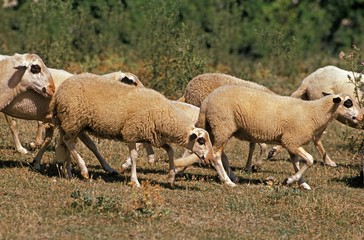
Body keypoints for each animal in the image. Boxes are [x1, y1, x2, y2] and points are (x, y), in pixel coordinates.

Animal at [51, 73, 213, 188]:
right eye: (201, 140)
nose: (209, 158)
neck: (163, 114)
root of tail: (63, 87)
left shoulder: (154, 136)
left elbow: (170, 150)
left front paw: (171, 177)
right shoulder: (131, 133)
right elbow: (134, 156)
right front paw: (135, 181)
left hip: (76, 122)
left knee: (71, 143)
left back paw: (71, 172)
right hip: (73, 119)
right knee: (68, 141)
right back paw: (84, 170)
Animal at [177, 85, 362, 189]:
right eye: (348, 103)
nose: (361, 117)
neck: (314, 113)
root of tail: (207, 102)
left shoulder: (291, 143)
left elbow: (297, 164)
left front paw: (301, 183)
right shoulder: (292, 140)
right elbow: (309, 160)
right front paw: (291, 180)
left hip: (214, 127)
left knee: (211, 151)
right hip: (223, 126)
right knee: (216, 155)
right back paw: (227, 181)